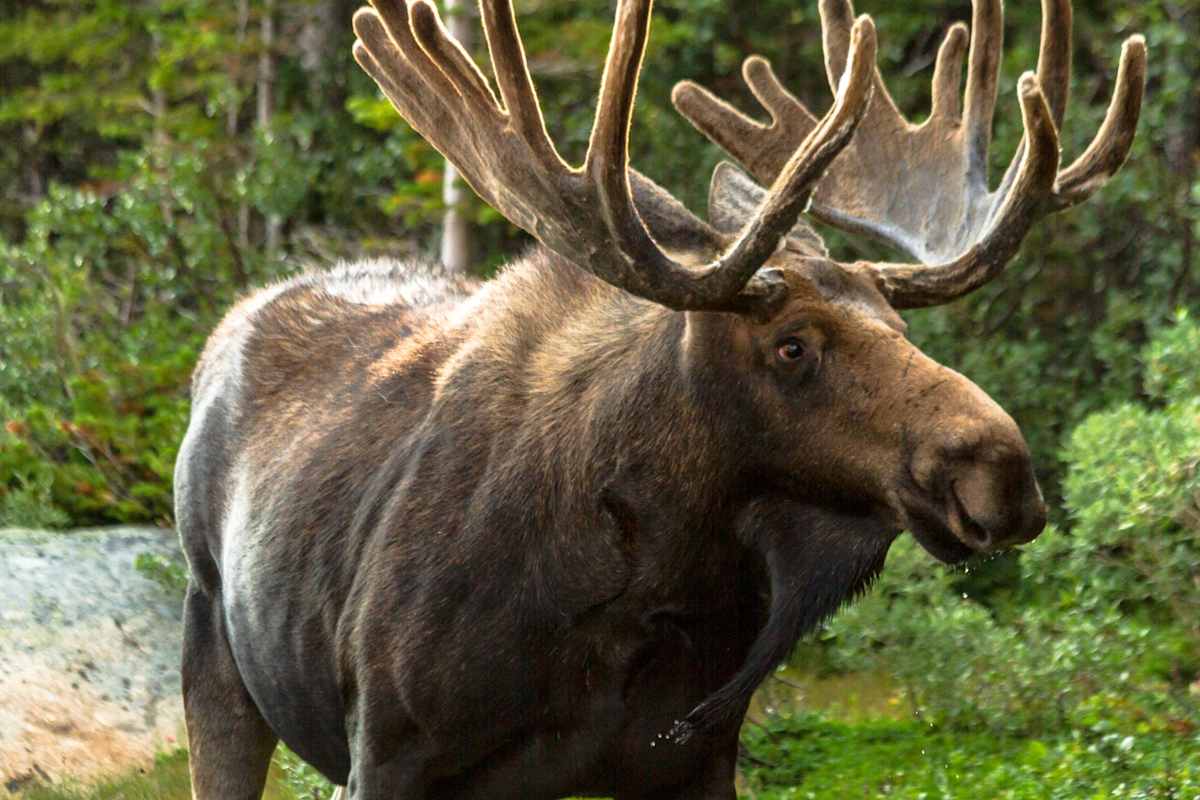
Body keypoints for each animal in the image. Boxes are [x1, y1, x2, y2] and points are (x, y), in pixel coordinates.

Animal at [173, 0, 1145, 797]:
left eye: (902, 328)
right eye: (792, 345)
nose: (1004, 470)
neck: (650, 580)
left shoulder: (690, 760)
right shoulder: (388, 752)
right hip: (213, 645)